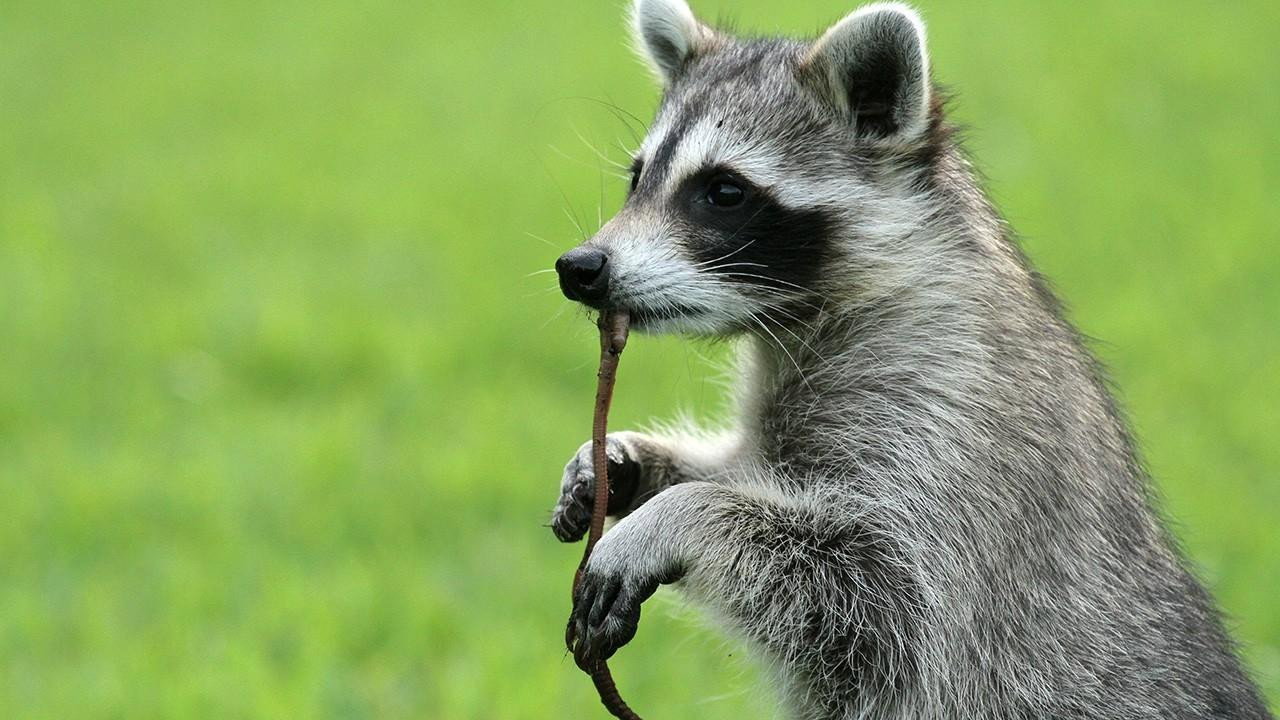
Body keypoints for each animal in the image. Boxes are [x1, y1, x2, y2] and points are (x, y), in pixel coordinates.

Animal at [549, 2, 1273, 718]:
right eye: (638, 177)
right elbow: (746, 472)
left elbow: (879, 590)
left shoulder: (948, 422)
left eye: (723, 191)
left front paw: (682, 514)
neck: (804, 319)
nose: (581, 267)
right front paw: (632, 463)